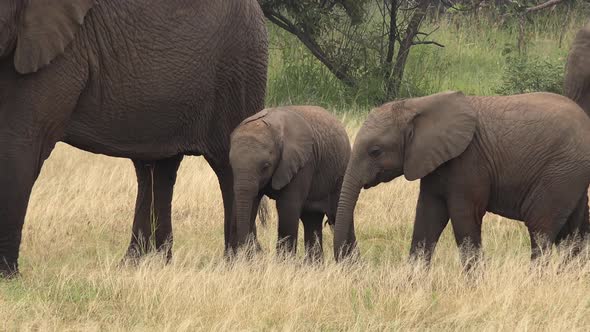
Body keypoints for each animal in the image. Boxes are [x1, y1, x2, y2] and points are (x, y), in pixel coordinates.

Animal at [0, 0, 268, 278]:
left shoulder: (61, 53)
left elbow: (20, 141)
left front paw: (7, 277)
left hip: (238, 69)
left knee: (227, 166)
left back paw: (241, 264)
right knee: (156, 168)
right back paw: (144, 265)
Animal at [230, 106, 352, 262]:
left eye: (265, 166)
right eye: (231, 166)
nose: (247, 255)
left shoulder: (303, 163)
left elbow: (287, 208)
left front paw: (283, 263)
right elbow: (252, 202)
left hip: (341, 173)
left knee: (338, 214)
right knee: (311, 219)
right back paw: (314, 265)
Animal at [332, 91, 590, 268]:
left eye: (375, 151)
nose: (356, 263)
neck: (417, 105)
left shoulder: (469, 162)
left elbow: (464, 217)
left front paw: (475, 287)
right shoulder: (434, 161)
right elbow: (427, 217)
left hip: (560, 172)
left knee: (541, 229)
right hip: (571, 175)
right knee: (574, 232)